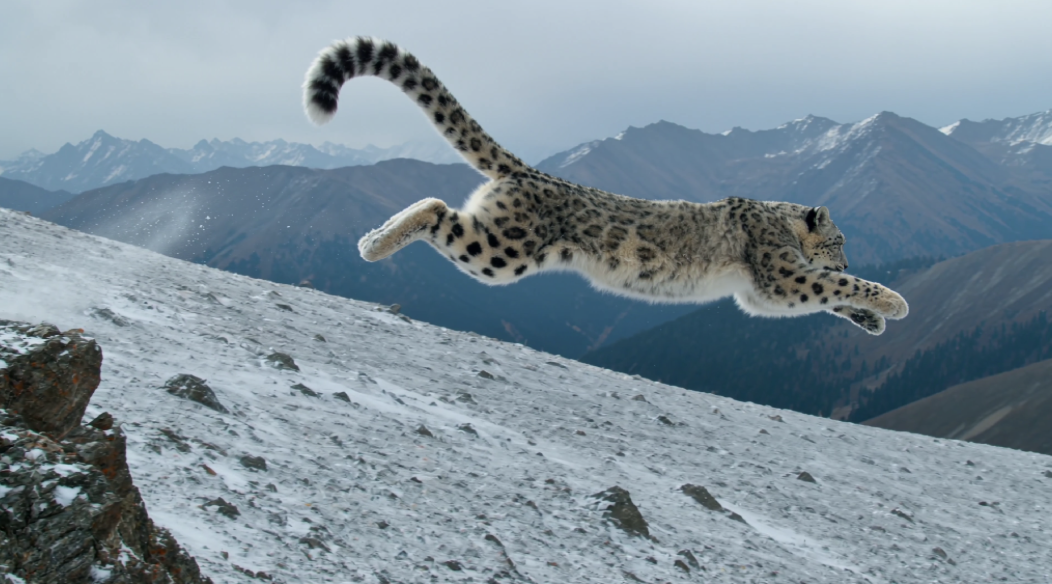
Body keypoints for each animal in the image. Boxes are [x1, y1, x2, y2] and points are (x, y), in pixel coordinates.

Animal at [302, 37, 908, 335]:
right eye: (840, 241)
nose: (846, 257)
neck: (780, 224)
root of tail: (531, 170)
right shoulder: (780, 275)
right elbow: (831, 287)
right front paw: (892, 302)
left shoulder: (764, 291)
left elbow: (831, 296)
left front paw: (873, 320)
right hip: (501, 251)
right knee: (435, 207)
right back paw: (374, 245)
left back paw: (370, 239)